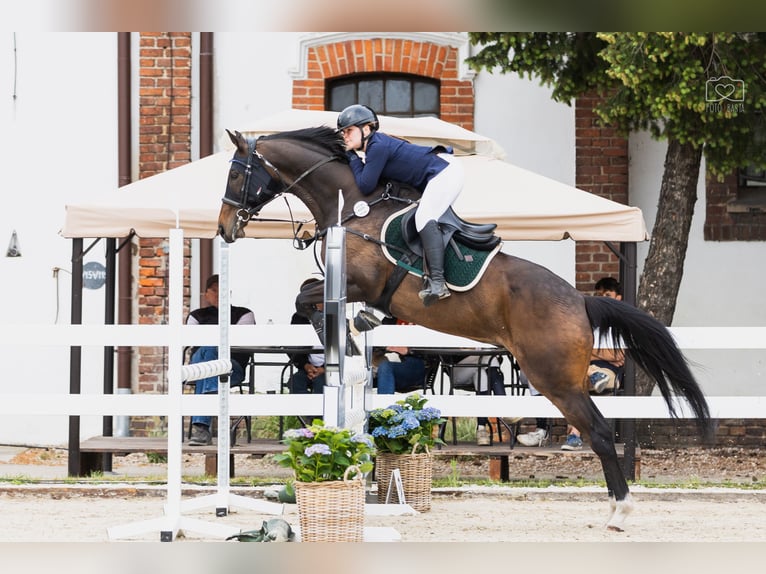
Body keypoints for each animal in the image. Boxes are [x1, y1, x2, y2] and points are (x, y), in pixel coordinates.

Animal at [218, 125, 712, 532]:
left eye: (236, 175)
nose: (224, 229)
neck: (354, 207)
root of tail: (580, 302)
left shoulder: (361, 282)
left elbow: (307, 299)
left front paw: (342, 334)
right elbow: (316, 301)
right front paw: (358, 328)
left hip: (554, 379)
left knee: (600, 433)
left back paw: (619, 511)